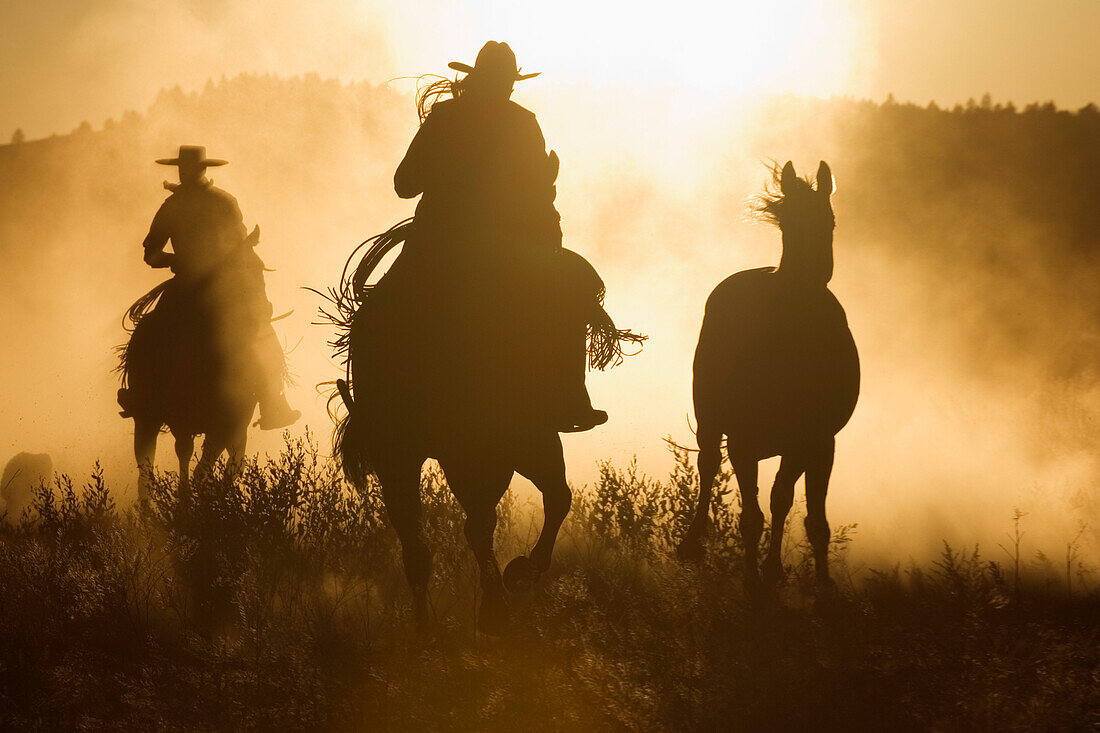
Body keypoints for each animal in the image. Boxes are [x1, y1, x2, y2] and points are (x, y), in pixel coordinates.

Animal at [677, 161, 858, 594]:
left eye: (829, 220)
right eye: (787, 224)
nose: (807, 276)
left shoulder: (818, 441)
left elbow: (804, 514)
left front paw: (816, 585)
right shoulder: (743, 440)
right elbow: (752, 516)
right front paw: (753, 582)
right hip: (710, 420)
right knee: (708, 467)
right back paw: (692, 543)